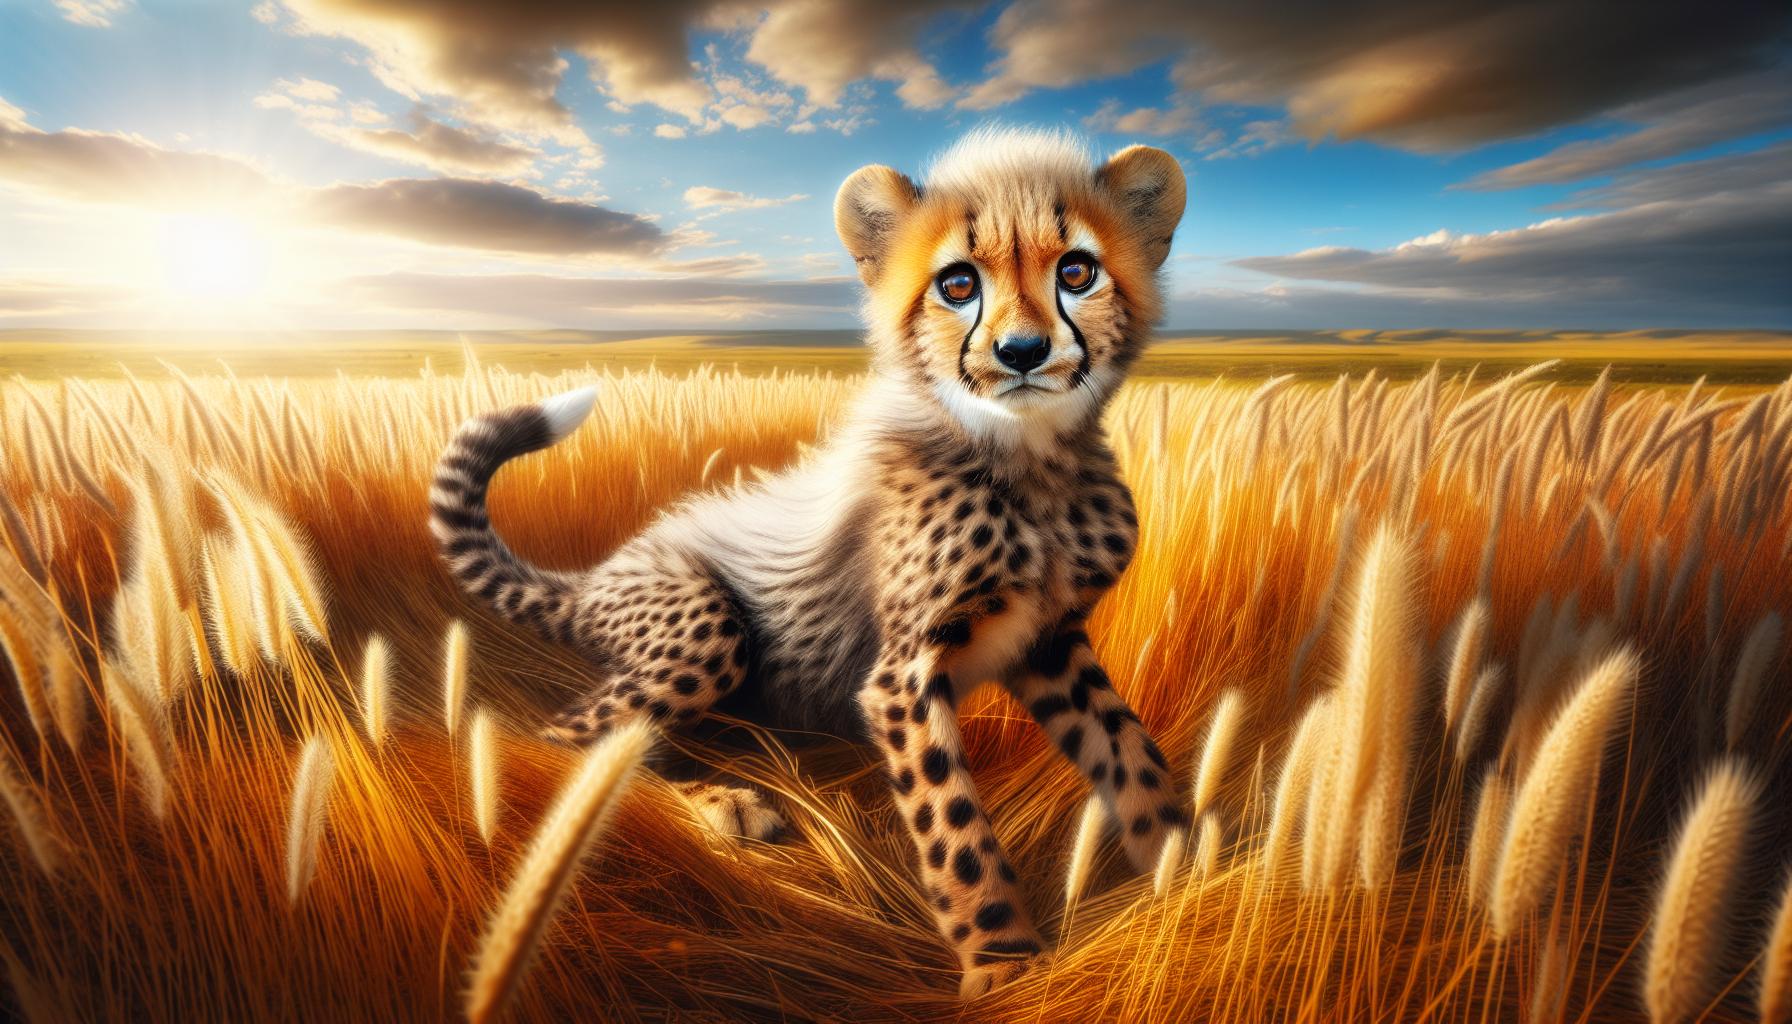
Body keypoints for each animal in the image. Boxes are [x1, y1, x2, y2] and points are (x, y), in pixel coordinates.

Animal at [429, 127, 1189, 998]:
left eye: (1077, 271)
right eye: (958, 283)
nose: (1022, 352)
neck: (1030, 464)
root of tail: (593, 581)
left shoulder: (1048, 641)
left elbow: (1131, 754)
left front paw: (1195, 872)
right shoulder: (902, 678)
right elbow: (955, 826)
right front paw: (1006, 966)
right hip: (706, 624)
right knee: (571, 739)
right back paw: (724, 805)